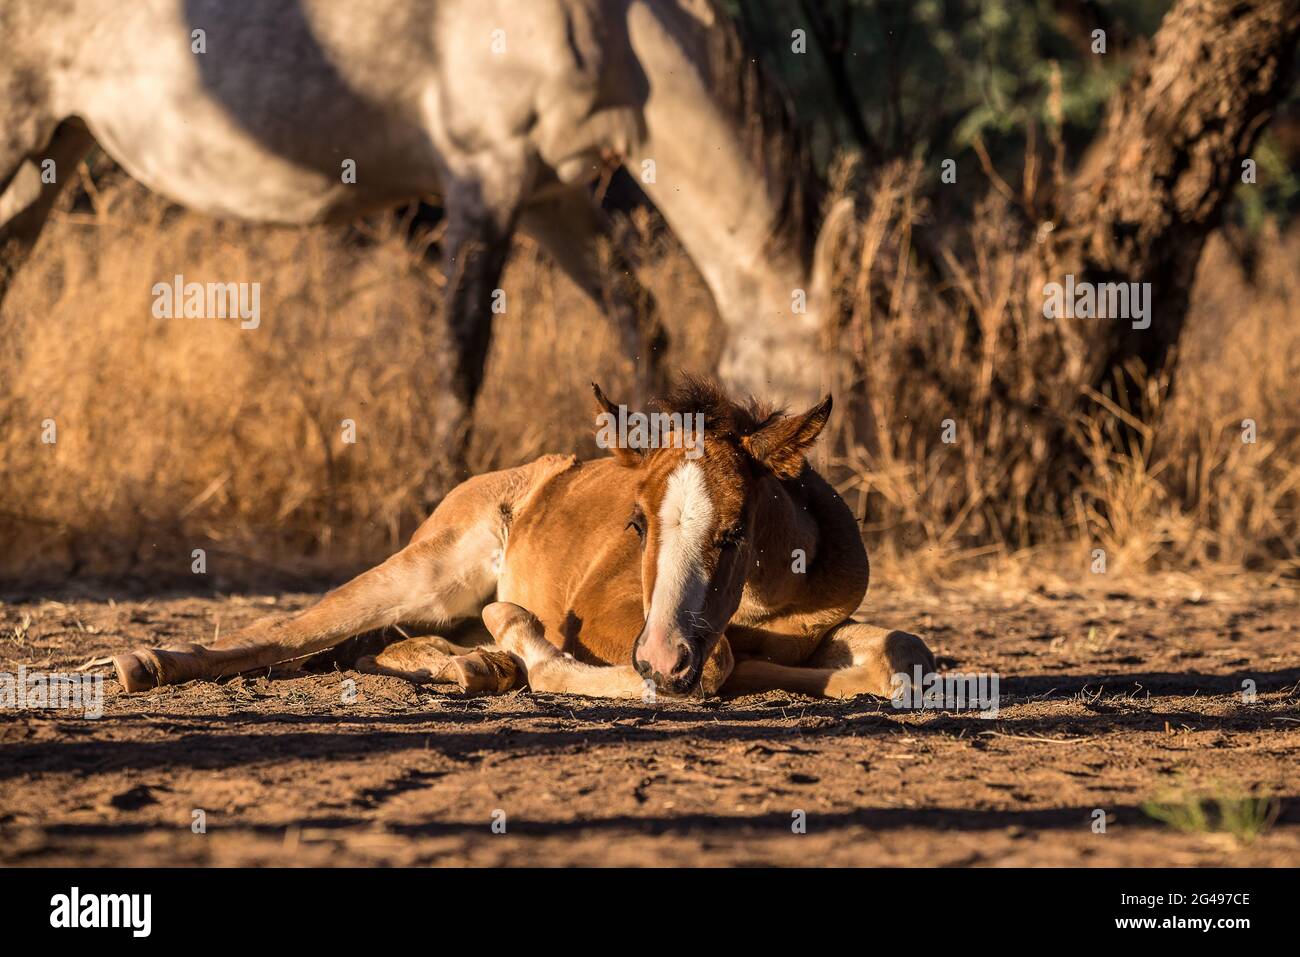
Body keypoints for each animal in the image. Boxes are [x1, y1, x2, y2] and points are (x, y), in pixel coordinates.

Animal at [114, 377, 935, 696]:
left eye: (735, 531)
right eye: (636, 524)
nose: (660, 656)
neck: (771, 599)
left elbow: (904, 652)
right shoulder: (609, 619)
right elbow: (715, 663)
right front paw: (522, 640)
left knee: (385, 644)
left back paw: (469, 665)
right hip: (426, 571)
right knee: (295, 626)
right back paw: (146, 661)